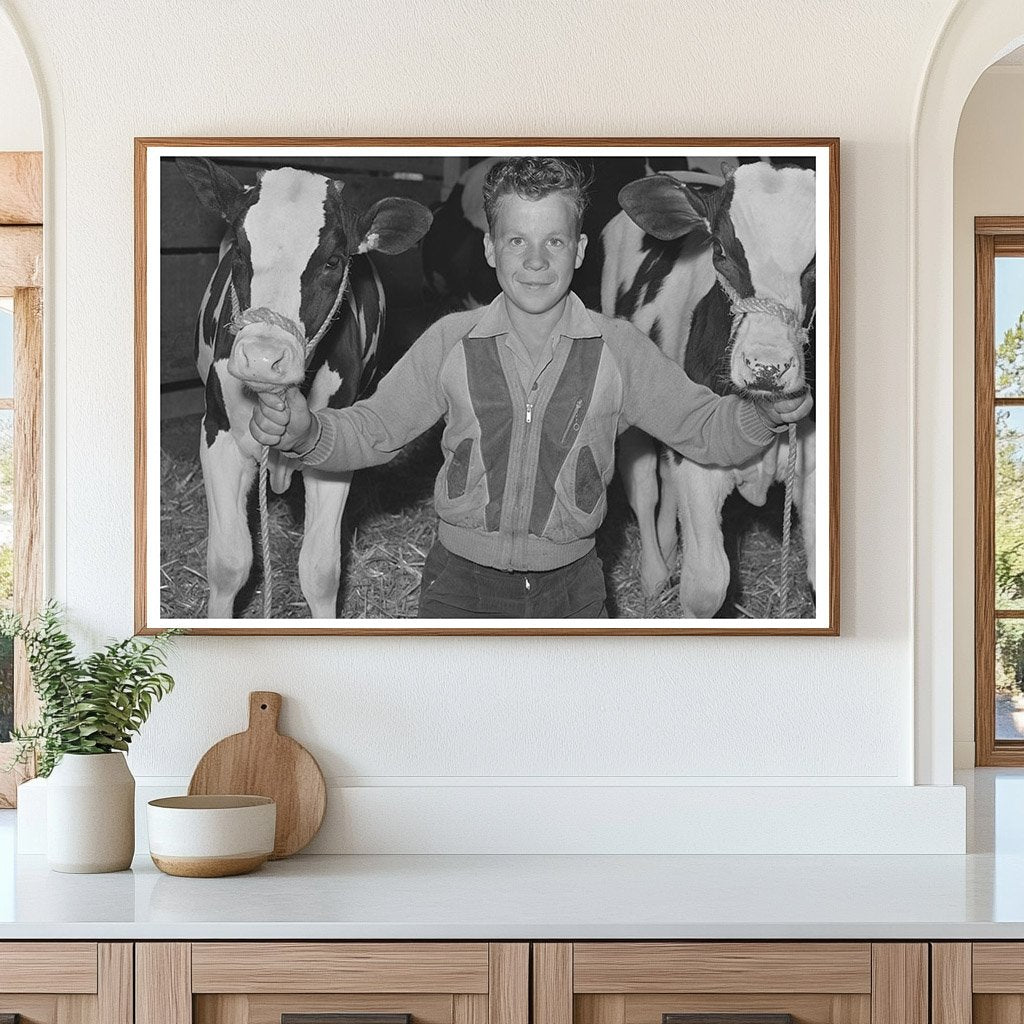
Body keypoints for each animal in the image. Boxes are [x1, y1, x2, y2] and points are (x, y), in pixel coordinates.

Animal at [177, 156, 432, 618]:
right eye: (240, 251)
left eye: (333, 260)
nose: (264, 358)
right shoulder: (217, 432)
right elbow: (228, 563)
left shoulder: (335, 448)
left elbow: (320, 571)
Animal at [598, 163, 815, 618]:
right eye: (720, 250)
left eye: (817, 263)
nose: (767, 366)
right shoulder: (700, 464)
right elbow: (707, 586)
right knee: (644, 487)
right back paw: (654, 574)